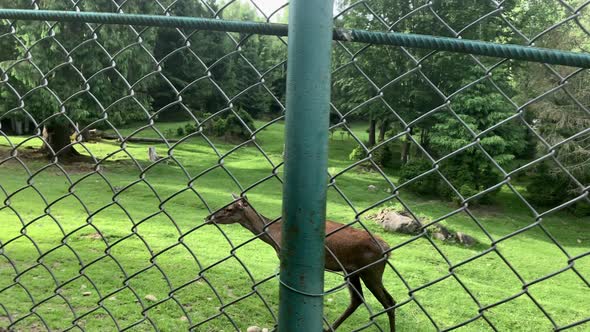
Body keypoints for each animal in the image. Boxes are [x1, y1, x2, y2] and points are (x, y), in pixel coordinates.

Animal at [206, 195, 396, 332]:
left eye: (229, 208)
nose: (208, 217)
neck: (274, 233)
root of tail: (388, 250)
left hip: (370, 270)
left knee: (388, 302)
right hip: (353, 271)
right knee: (358, 299)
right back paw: (329, 328)